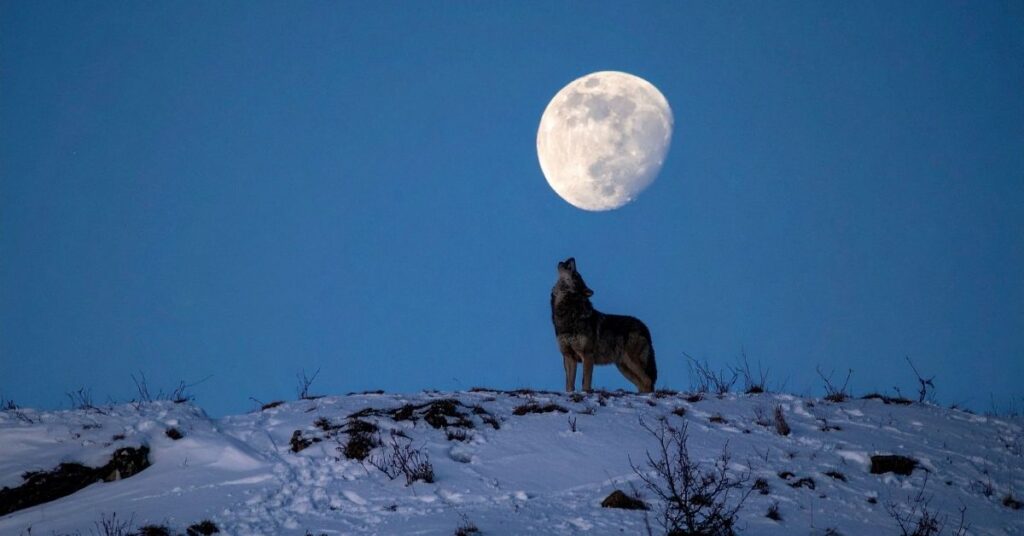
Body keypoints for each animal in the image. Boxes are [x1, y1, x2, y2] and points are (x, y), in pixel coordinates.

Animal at [551, 257, 657, 393]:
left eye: (576, 275)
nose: (572, 258)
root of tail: (645, 328)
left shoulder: (587, 355)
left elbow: (585, 382)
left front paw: (586, 393)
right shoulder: (568, 356)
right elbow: (569, 385)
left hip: (631, 363)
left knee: (647, 381)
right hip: (624, 367)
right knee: (642, 383)